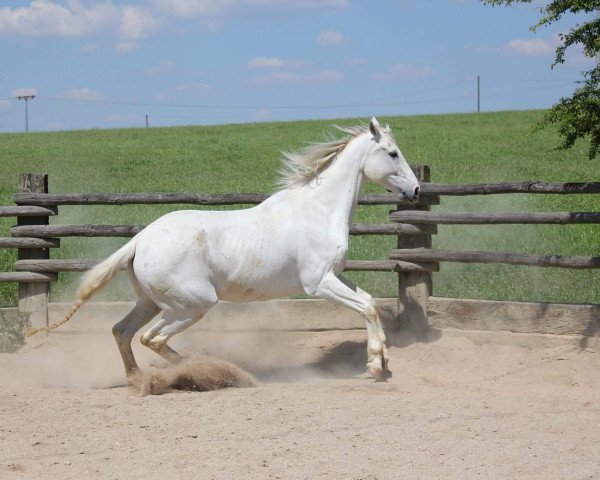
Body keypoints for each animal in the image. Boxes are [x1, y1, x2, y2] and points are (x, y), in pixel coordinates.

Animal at [65, 118, 420, 380]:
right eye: (392, 153)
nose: (416, 190)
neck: (318, 210)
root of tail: (139, 240)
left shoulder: (333, 276)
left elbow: (369, 302)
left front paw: (383, 358)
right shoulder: (318, 283)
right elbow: (366, 308)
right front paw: (375, 365)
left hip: (151, 303)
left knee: (122, 331)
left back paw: (138, 379)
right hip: (191, 305)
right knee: (151, 338)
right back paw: (208, 372)